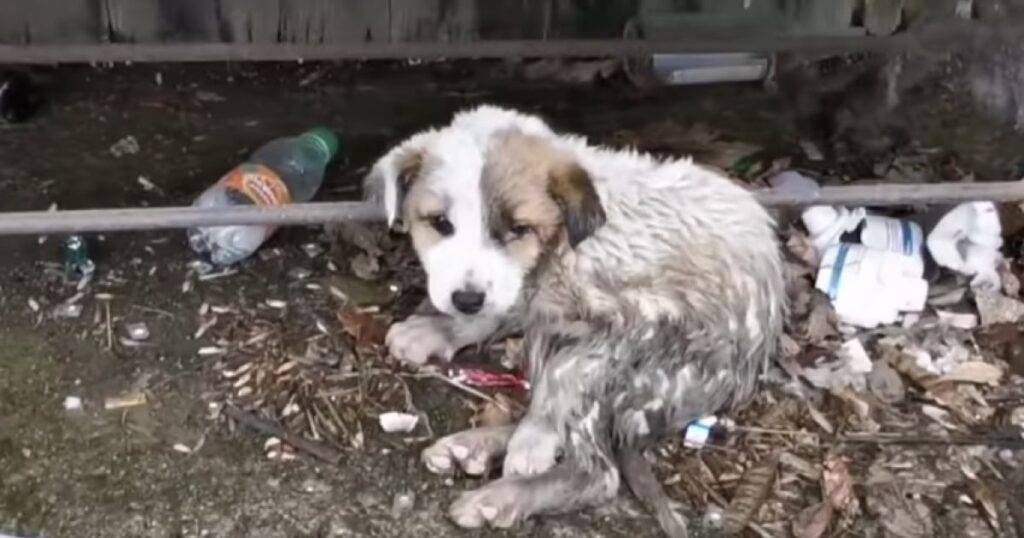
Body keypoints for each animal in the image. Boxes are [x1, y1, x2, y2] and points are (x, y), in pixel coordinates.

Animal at [364, 106, 786, 536]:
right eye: (440, 223)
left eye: (519, 229)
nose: (466, 300)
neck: (563, 243)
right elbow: (511, 307)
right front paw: (438, 328)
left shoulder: (643, 319)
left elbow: (565, 374)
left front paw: (534, 439)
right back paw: (473, 448)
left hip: (656, 373)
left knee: (597, 470)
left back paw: (501, 494)